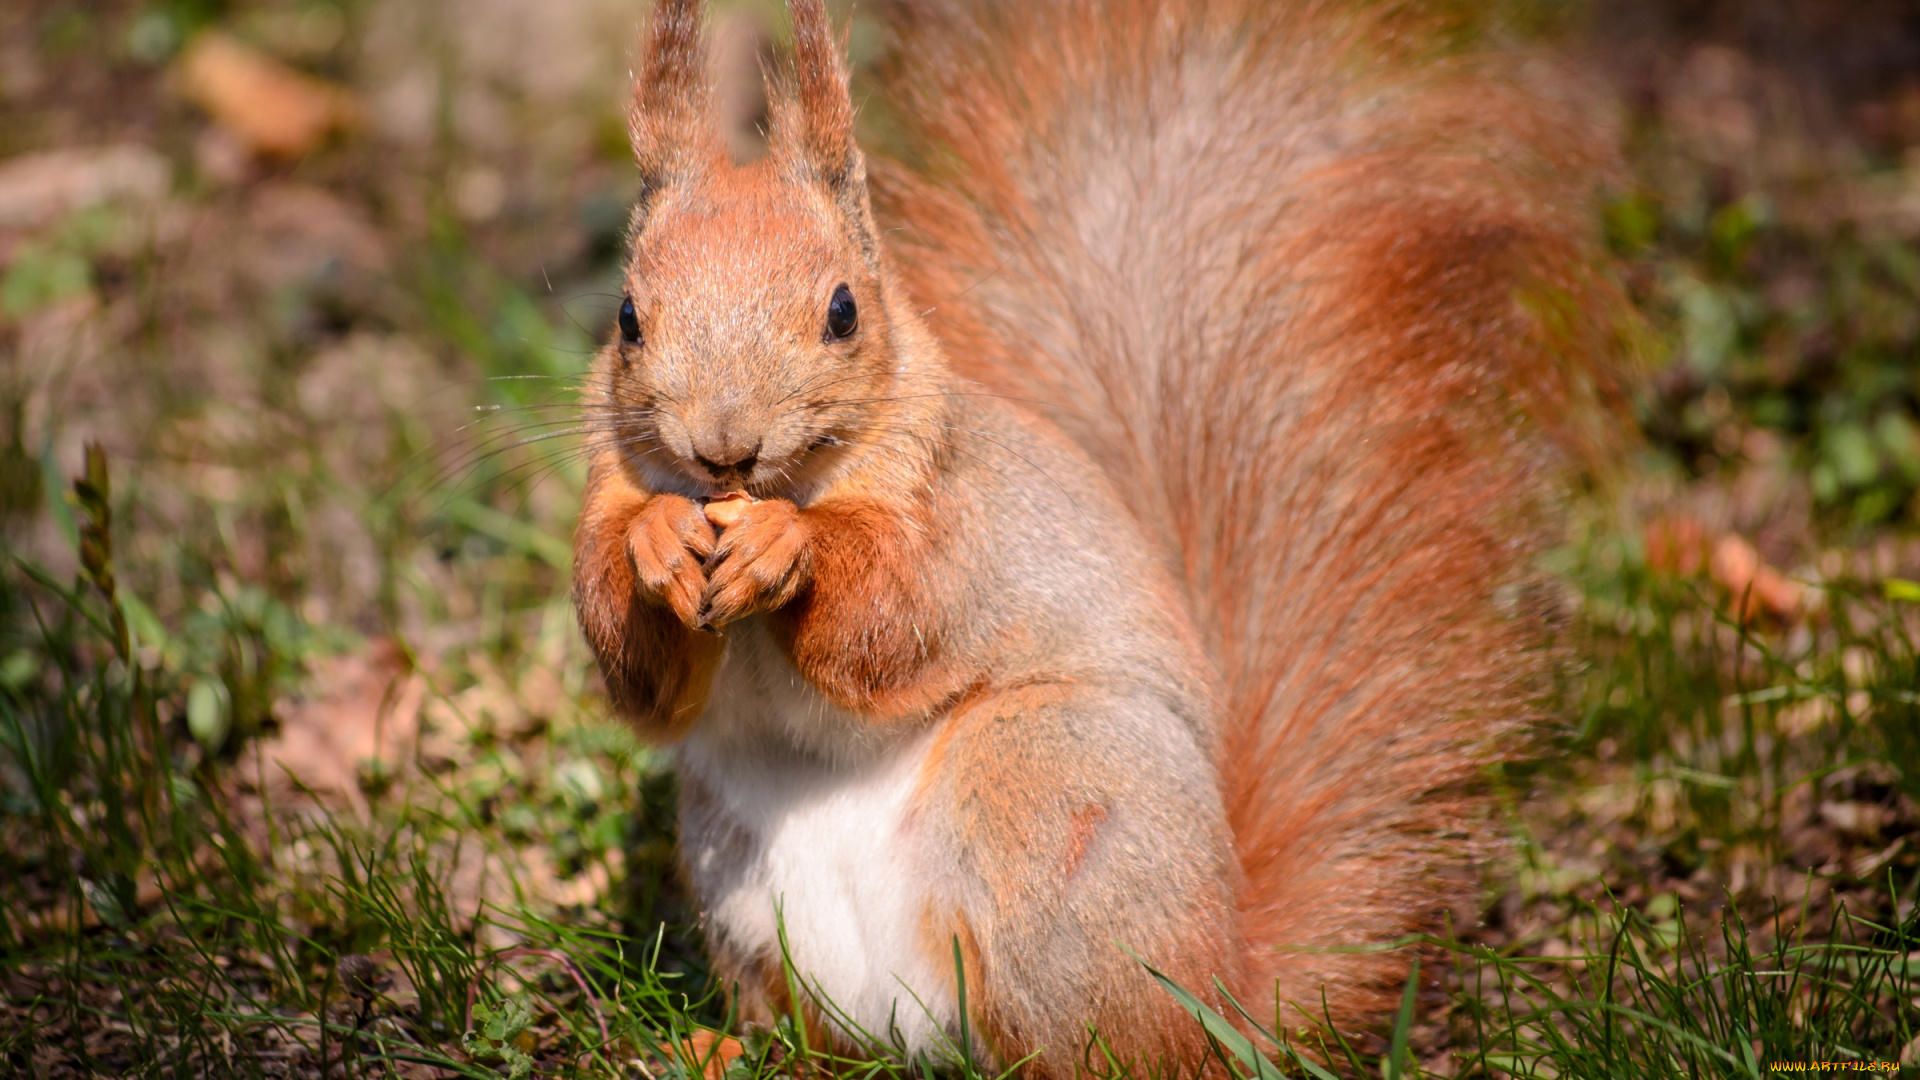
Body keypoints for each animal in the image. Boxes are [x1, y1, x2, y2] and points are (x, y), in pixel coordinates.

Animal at [568, 0, 1620, 1068]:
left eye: (845, 311)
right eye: (628, 318)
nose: (723, 448)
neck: (790, 482)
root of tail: (1225, 993)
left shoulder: (959, 514)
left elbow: (889, 614)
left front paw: (790, 548)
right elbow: (634, 666)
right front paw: (654, 540)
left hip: (1047, 790)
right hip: (738, 875)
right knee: (816, 1034)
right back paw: (731, 1050)